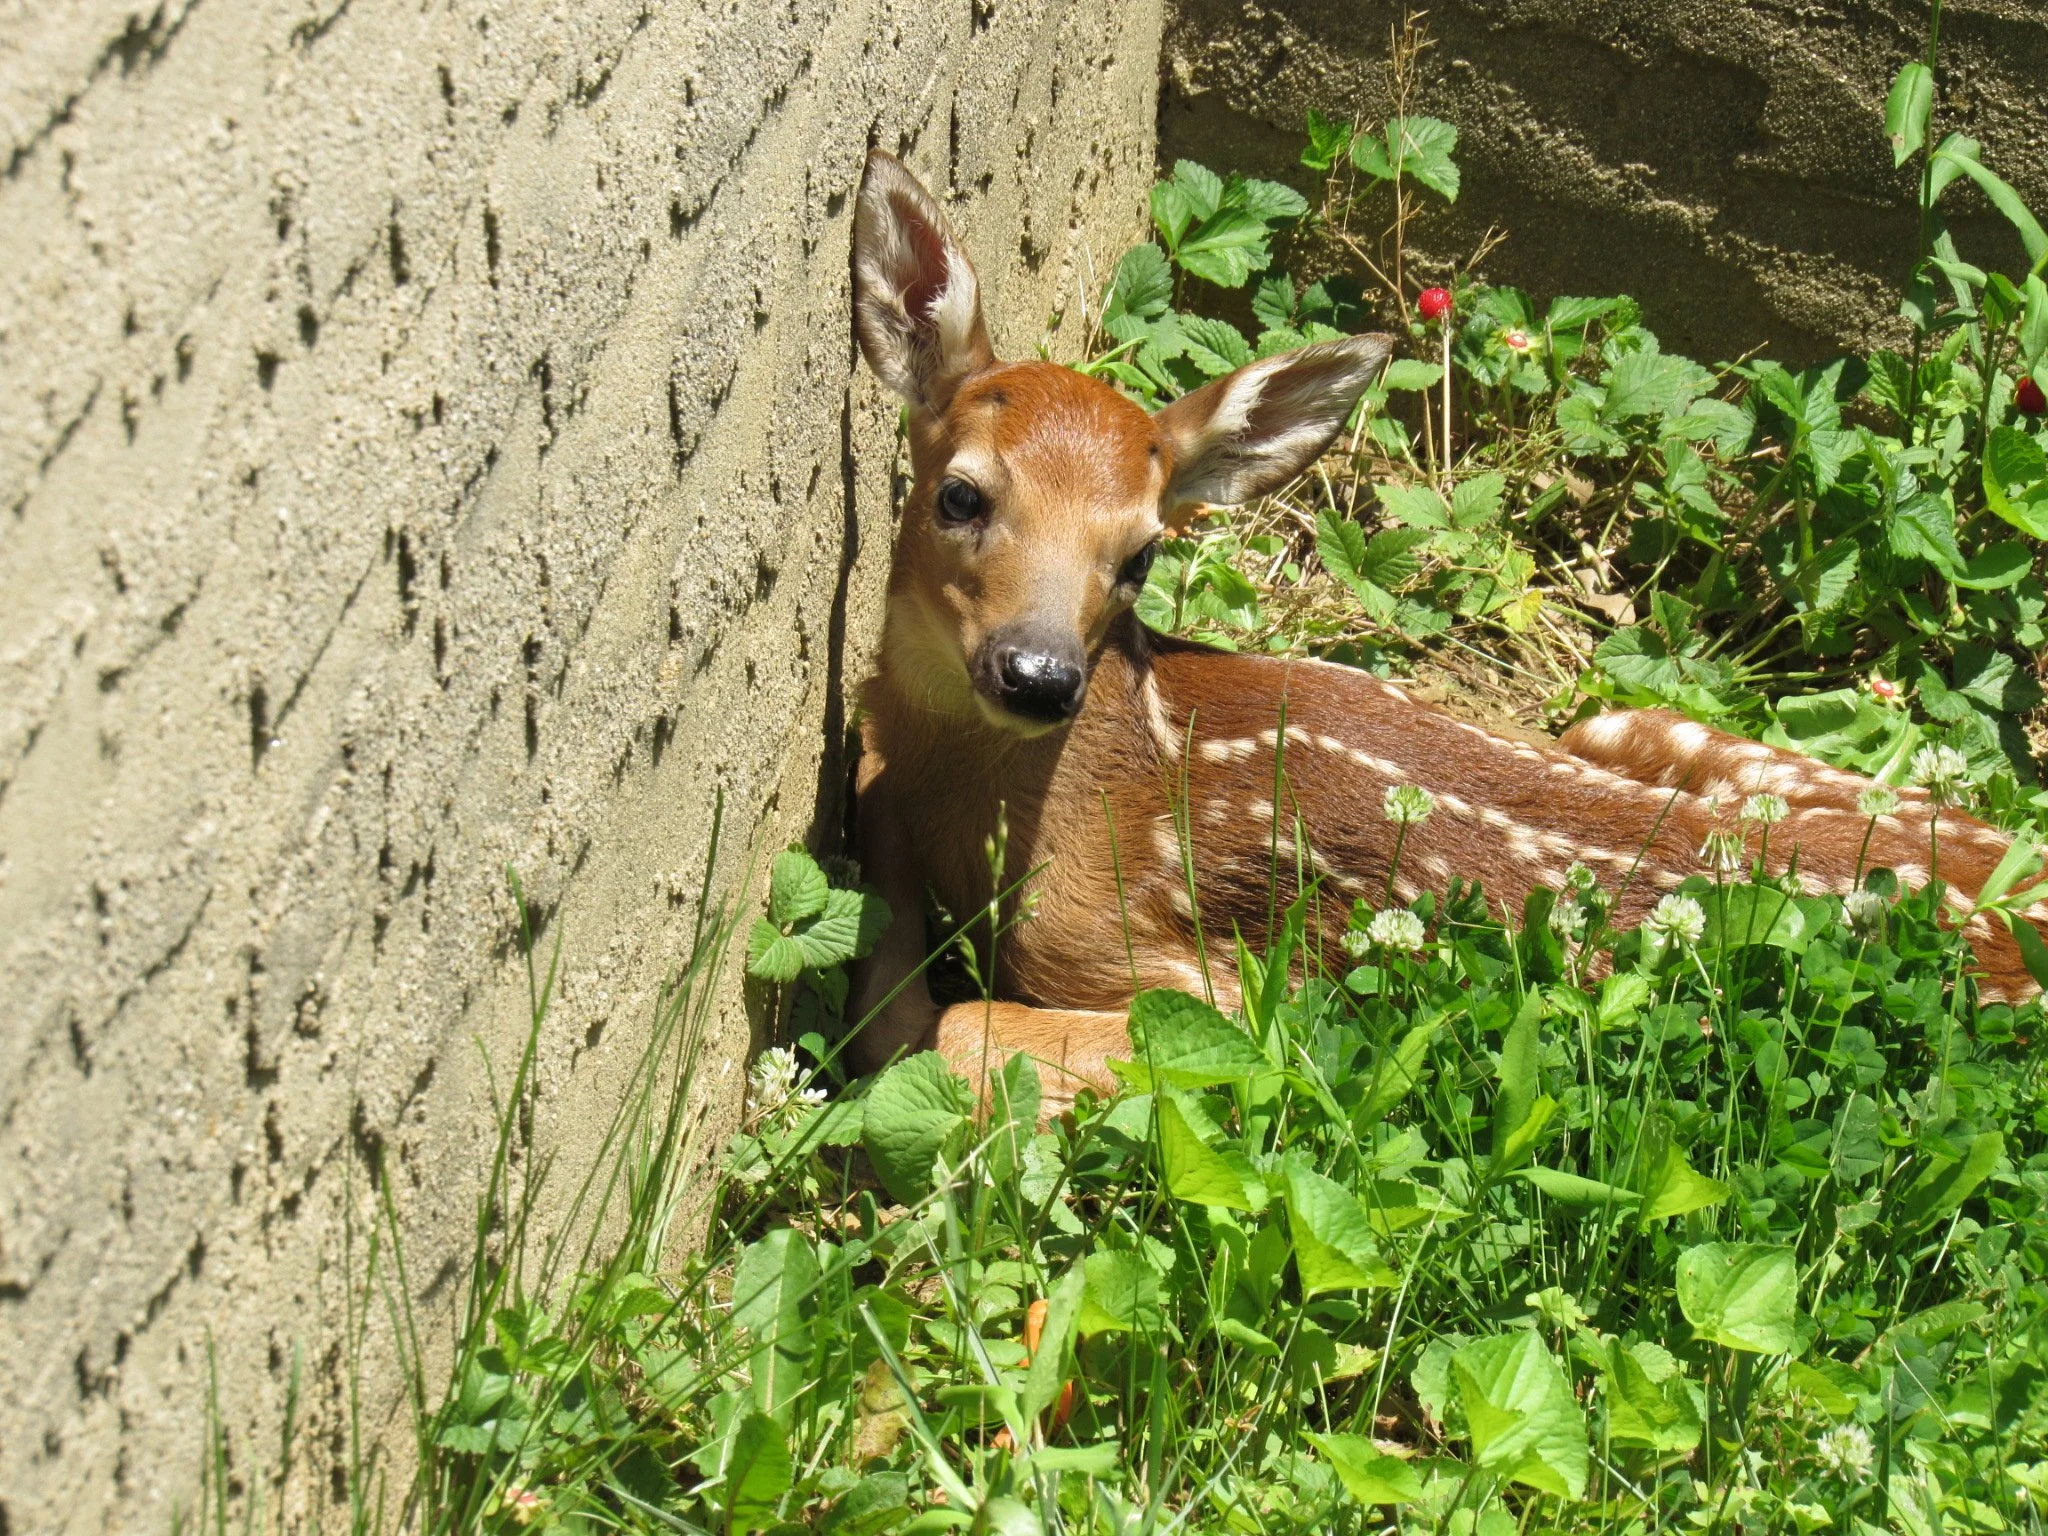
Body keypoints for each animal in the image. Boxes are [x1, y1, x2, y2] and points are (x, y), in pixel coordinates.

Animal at [843, 150, 2044, 1107]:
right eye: (960, 495)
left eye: (1140, 554)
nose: (1038, 674)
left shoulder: (1202, 984)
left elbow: (955, 1031)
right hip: (1632, 724)